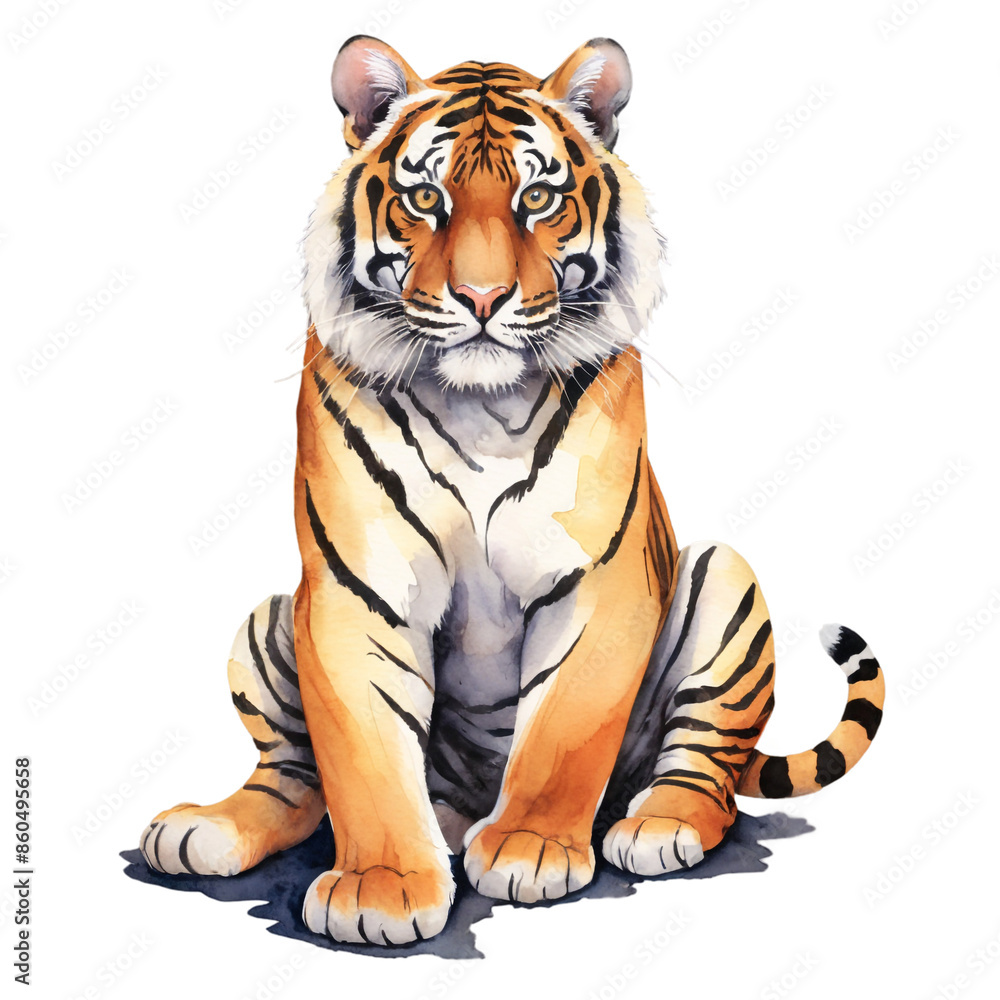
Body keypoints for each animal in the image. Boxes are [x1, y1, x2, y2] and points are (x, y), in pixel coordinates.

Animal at [139, 36, 884, 947]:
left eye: (538, 198)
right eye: (426, 197)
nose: (484, 298)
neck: (479, 407)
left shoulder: (599, 582)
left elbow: (563, 728)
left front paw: (530, 847)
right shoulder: (356, 590)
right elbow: (360, 755)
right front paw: (382, 887)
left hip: (724, 581)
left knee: (709, 765)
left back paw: (656, 823)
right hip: (270, 618)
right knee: (291, 775)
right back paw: (207, 827)